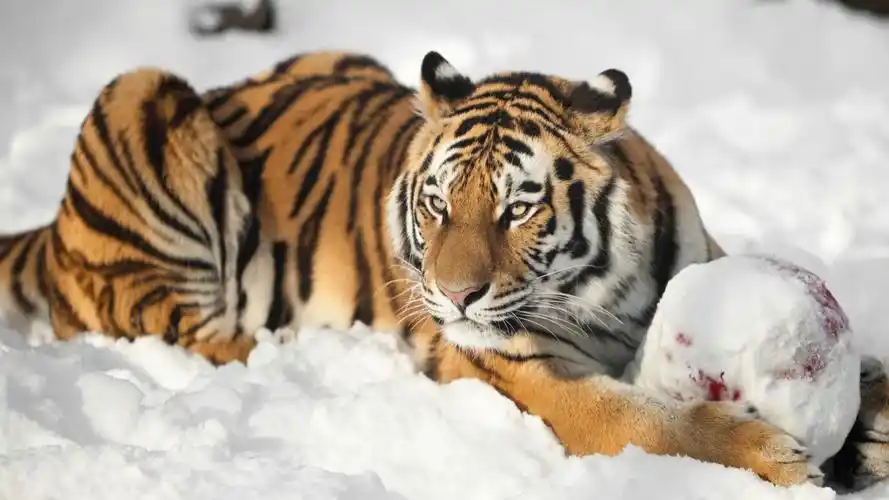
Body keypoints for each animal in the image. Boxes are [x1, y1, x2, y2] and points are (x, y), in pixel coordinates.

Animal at [0, 50, 885, 488]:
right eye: (435, 204)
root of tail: (51, 230)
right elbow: (646, 421)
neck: (607, 293)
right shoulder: (516, 370)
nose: (454, 297)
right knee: (180, 325)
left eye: (518, 207)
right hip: (142, 98)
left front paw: (868, 423)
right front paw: (776, 457)